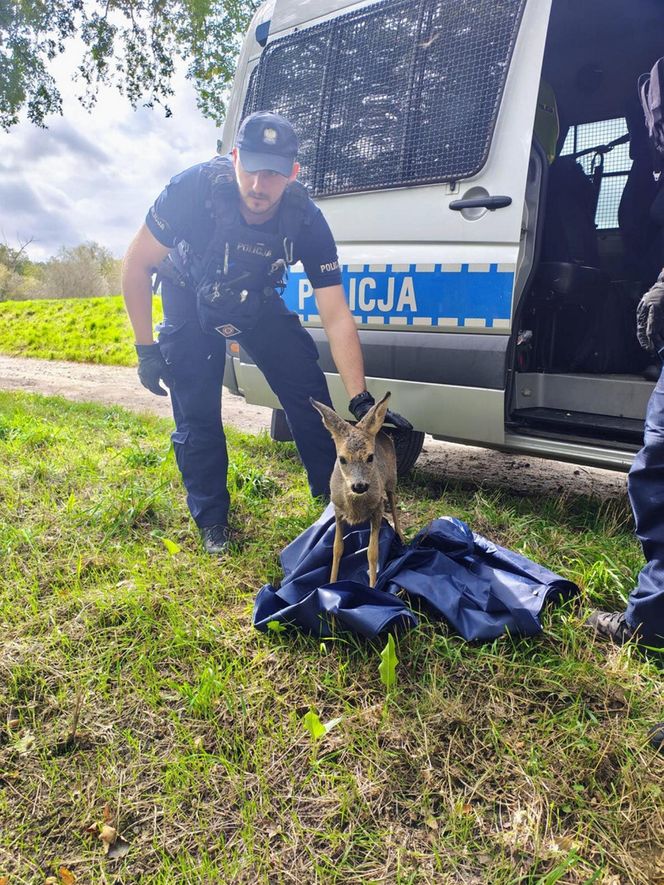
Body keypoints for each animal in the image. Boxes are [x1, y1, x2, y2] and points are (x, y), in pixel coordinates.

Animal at [308, 392, 402, 588]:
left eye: (370, 457)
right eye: (342, 459)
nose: (359, 485)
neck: (355, 508)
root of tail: (382, 433)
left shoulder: (377, 508)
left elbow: (372, 553)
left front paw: (372, 587)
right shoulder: (337, 510)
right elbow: (337, 549)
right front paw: (331, 583)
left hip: (392, 479)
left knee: (394, 505)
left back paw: (401, 538)